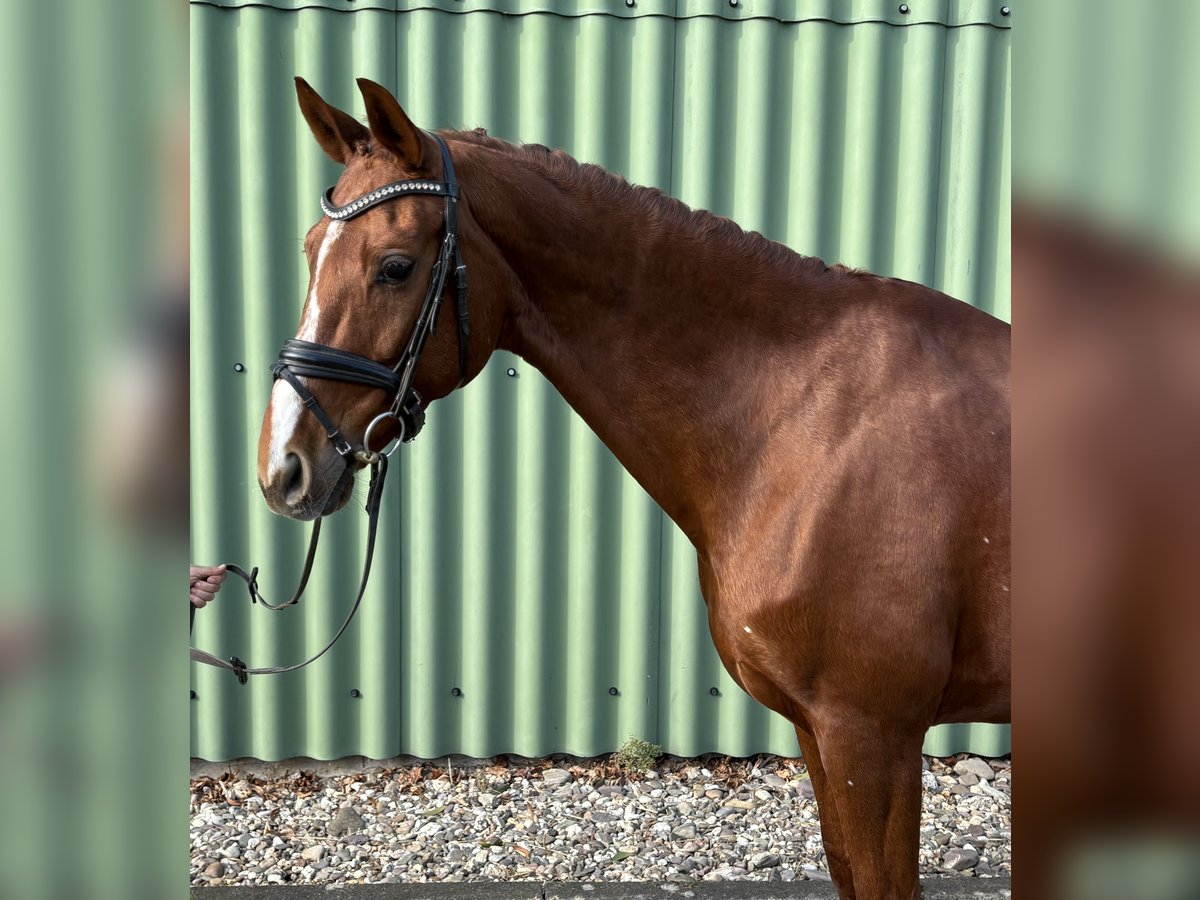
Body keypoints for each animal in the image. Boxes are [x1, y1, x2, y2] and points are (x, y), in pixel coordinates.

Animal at [258, 79, 1008, 900]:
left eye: (394, 266)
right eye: (308, 251)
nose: (283, 468)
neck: (804, 418)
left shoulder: (872, 736)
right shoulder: (821, 731)